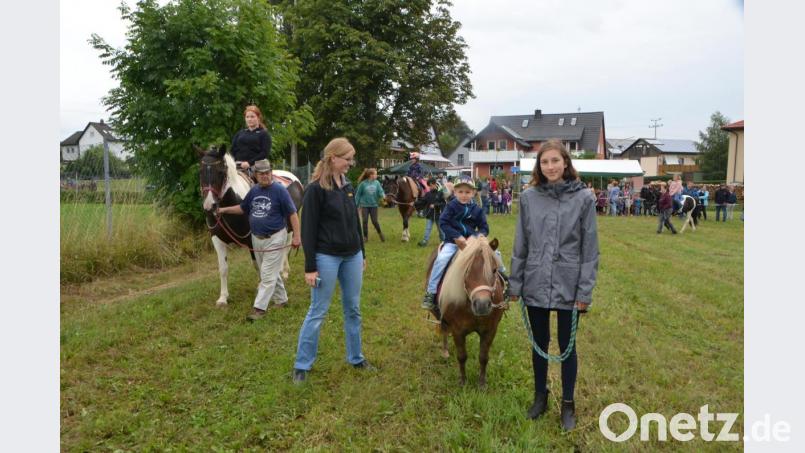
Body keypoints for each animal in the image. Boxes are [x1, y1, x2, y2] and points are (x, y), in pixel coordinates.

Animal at [425, 236, 507, 387]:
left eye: (494, 270)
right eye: (466, 270)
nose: (482, 305)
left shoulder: (490, 330)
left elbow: (483, 357)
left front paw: (482, 383)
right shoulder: (458, 331)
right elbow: (462, 356)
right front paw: (463, 382)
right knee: (444, 330)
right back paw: (445, 351)